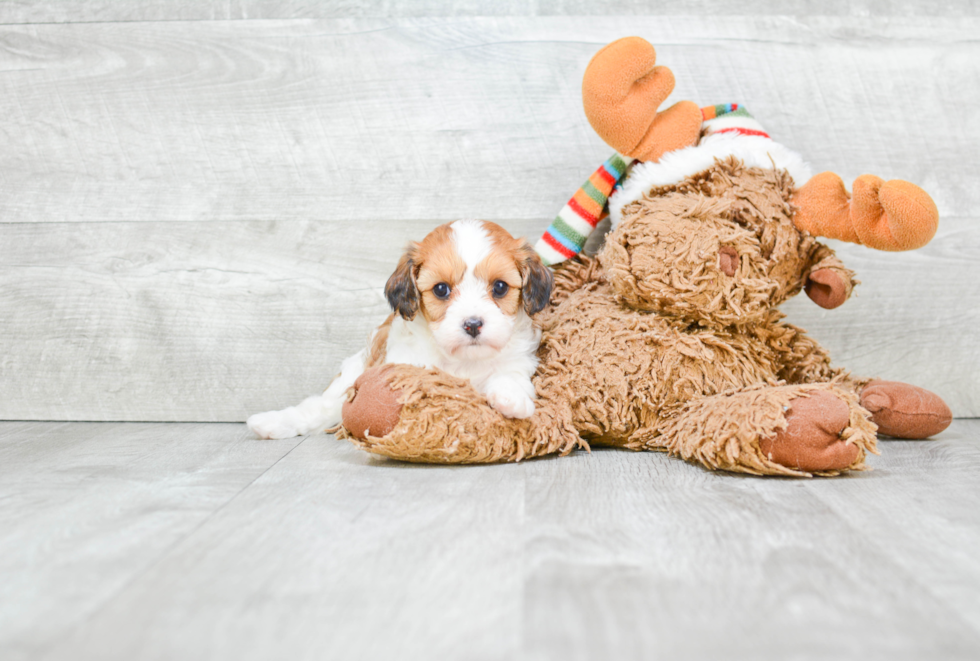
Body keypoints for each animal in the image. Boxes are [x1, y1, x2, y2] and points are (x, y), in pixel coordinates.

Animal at [245, 219, 552, 440]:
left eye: (499, 287)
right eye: (441, 289)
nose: (473, 324)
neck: (462, 360)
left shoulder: (519, 359)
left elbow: (509, 376)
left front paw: (511, 399)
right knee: (319, 407)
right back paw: (272, 423)